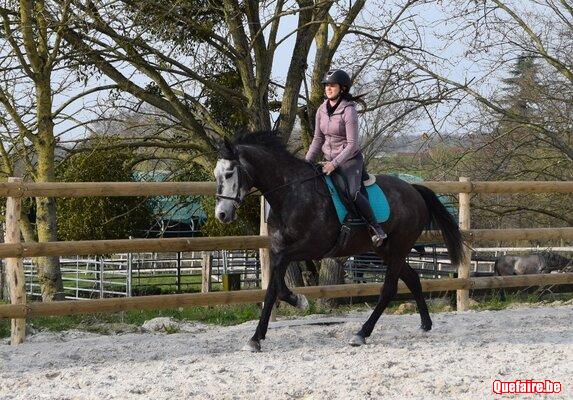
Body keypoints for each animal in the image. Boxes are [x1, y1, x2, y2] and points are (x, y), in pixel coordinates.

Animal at [213, 131, 464, 352]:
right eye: (216, 175)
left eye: (229, 173)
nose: (222, 214)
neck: (290, 194)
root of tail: (414, 190)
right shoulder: (277, 251)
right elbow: (272, 290)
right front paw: (255, 339)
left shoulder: (307, 248)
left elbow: (280, 286)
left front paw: (299, 301)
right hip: (386, 250)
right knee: (412, 279)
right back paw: (425, 324)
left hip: (398, 248)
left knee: (389, 289)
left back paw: (361, 334)